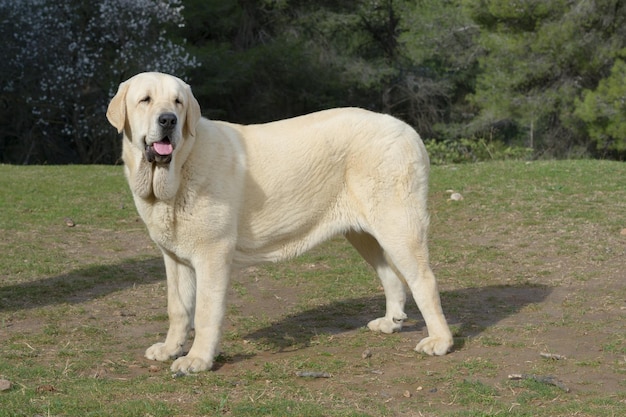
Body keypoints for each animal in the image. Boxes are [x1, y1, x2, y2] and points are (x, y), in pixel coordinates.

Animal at [106, 72, 448, 374]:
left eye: (177, 102)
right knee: (391, 275)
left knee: (424, 280)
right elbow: (178, 308)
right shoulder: (175, 258)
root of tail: (408, 130)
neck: (179, 168)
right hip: (364, 233)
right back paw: (391, 322)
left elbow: (204, 312)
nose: (168, 120)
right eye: (145, 100)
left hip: (397, 226)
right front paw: (170, 349)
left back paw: (440, 341)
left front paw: (198, 360)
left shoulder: (212, 255)